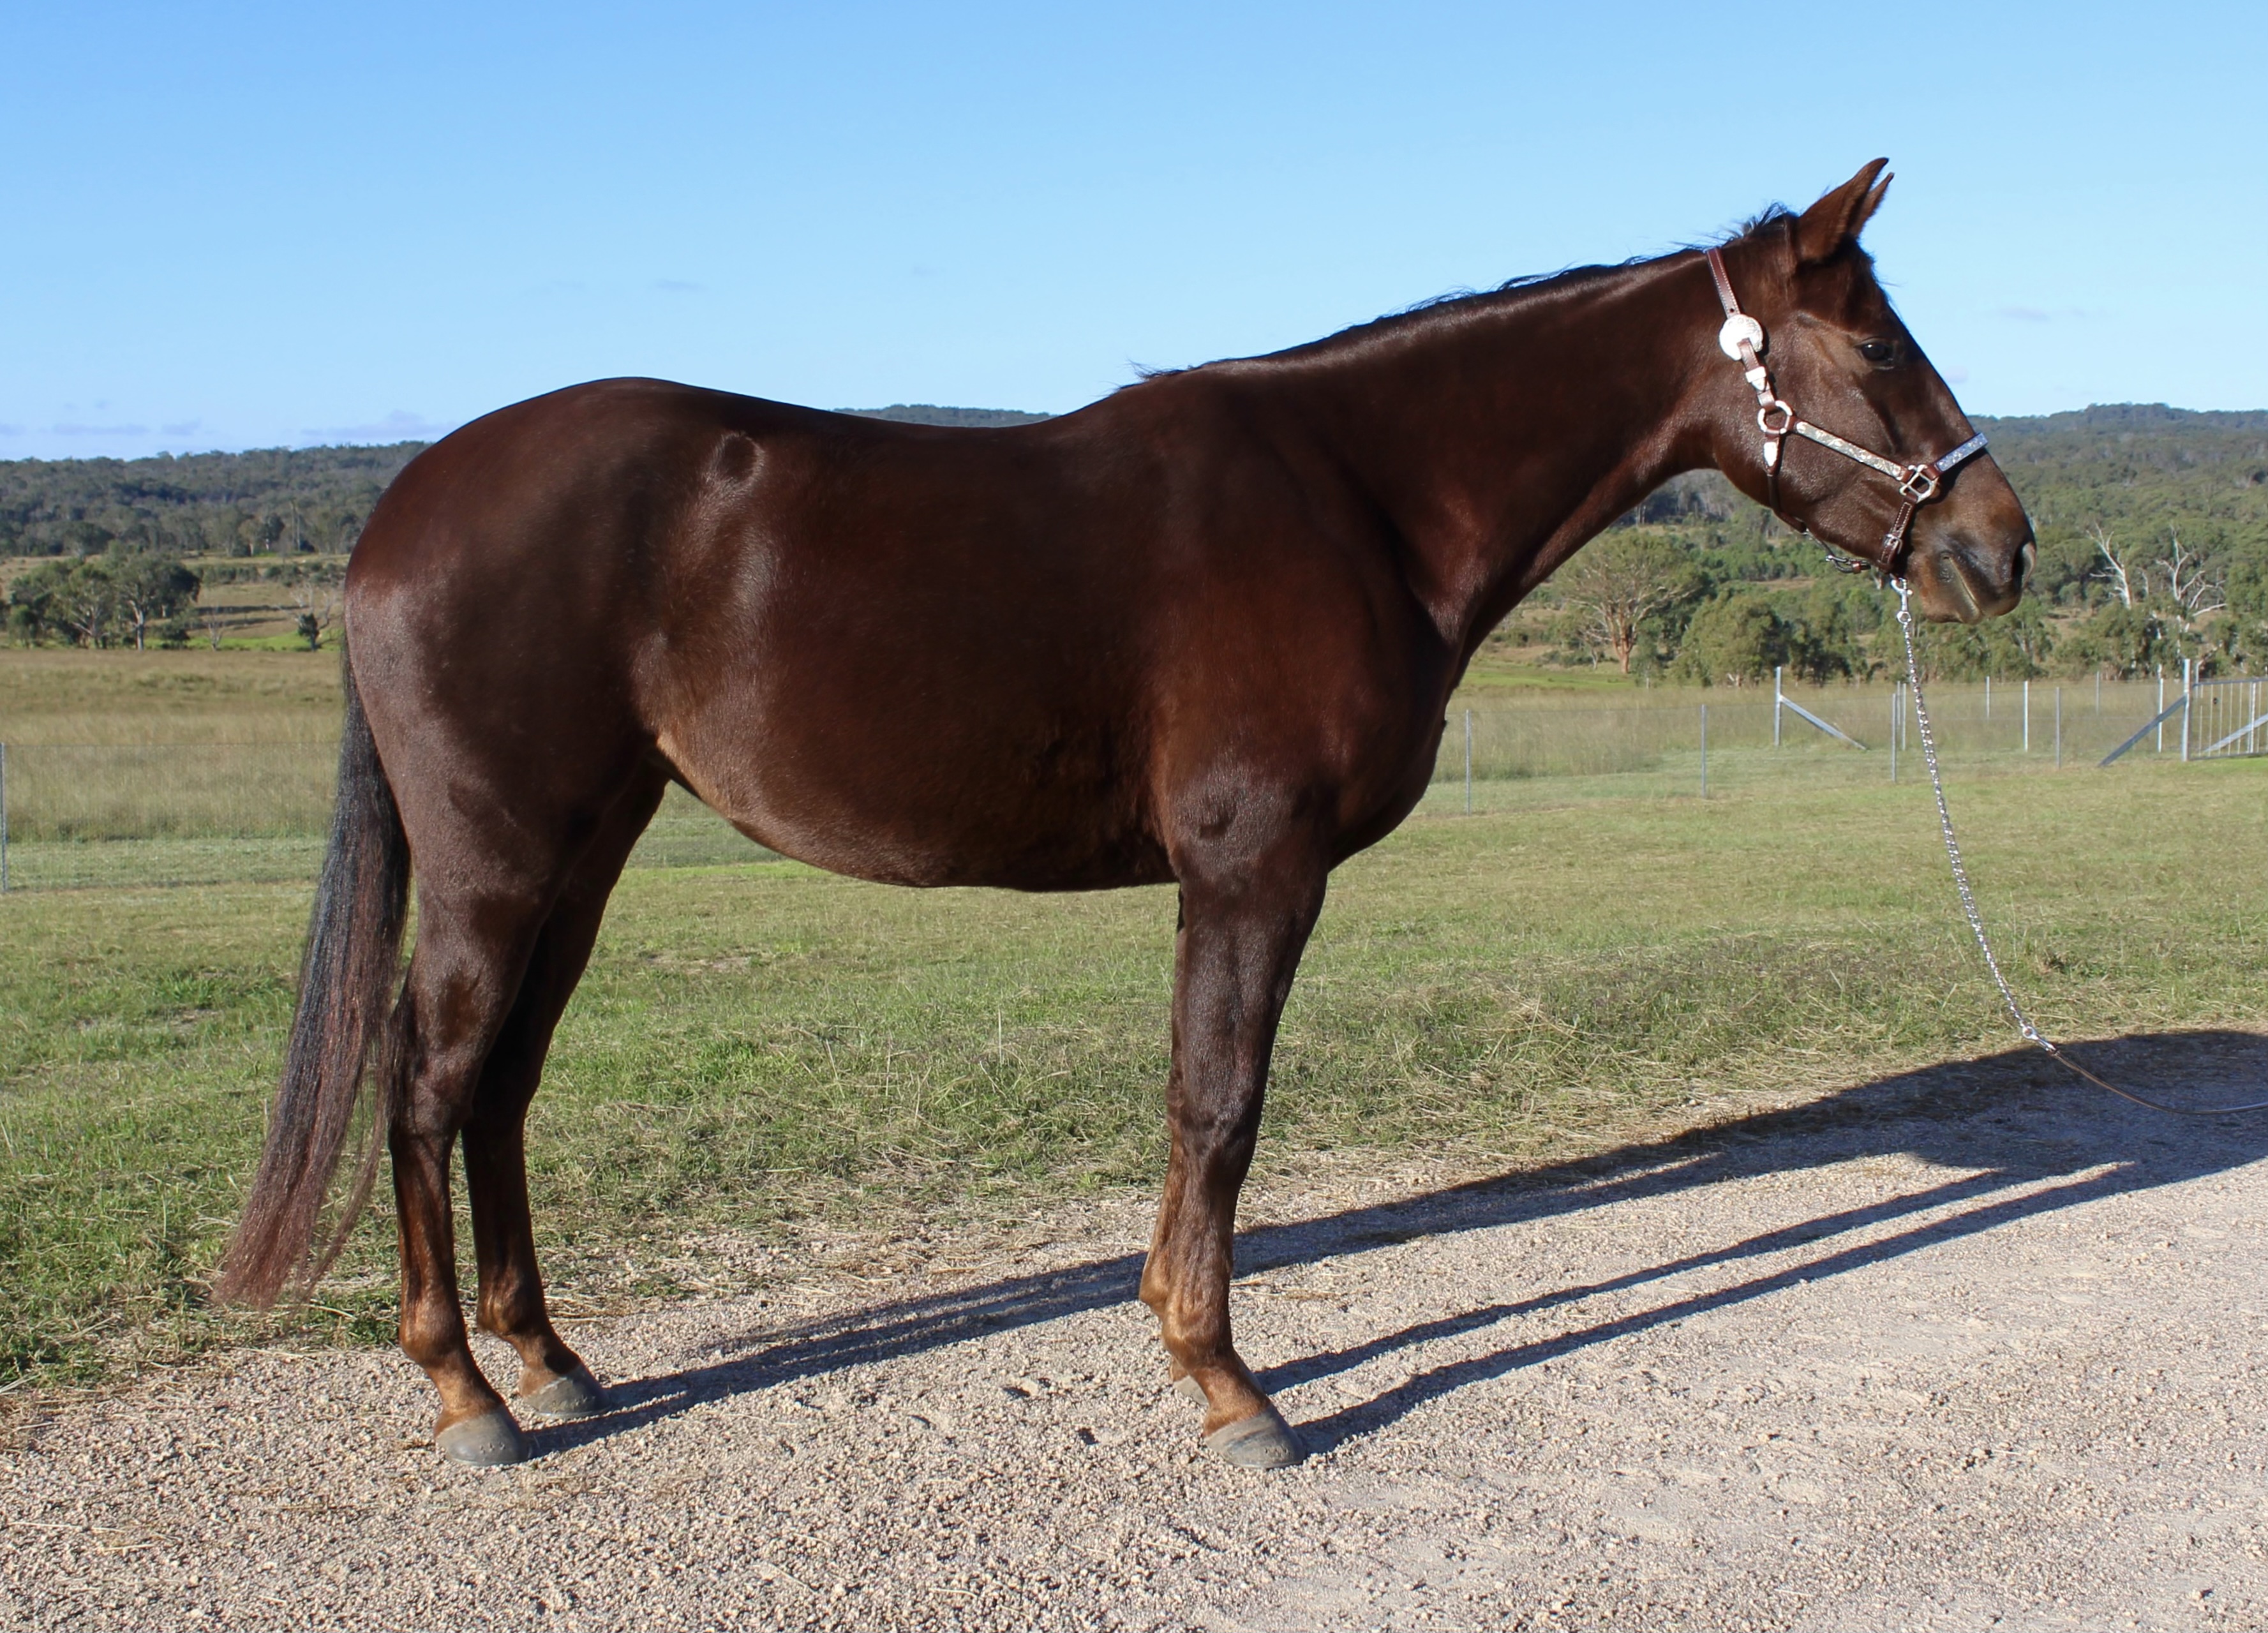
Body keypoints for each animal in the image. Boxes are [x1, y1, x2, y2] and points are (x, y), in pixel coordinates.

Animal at [218, 161, 2033, 1470]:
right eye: (1878, 347)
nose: (1998, 548)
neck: (1360, 501)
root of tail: (404, 506)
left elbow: (1196, 1106)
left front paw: (1177, 1326)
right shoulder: (1251, 869)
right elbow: (1218, 1105)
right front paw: (1225, 1380)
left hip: (582, 854)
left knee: (502, 1086)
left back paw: (553, 1360)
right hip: (498, 860)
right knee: (424, 1083)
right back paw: (468, 1394)